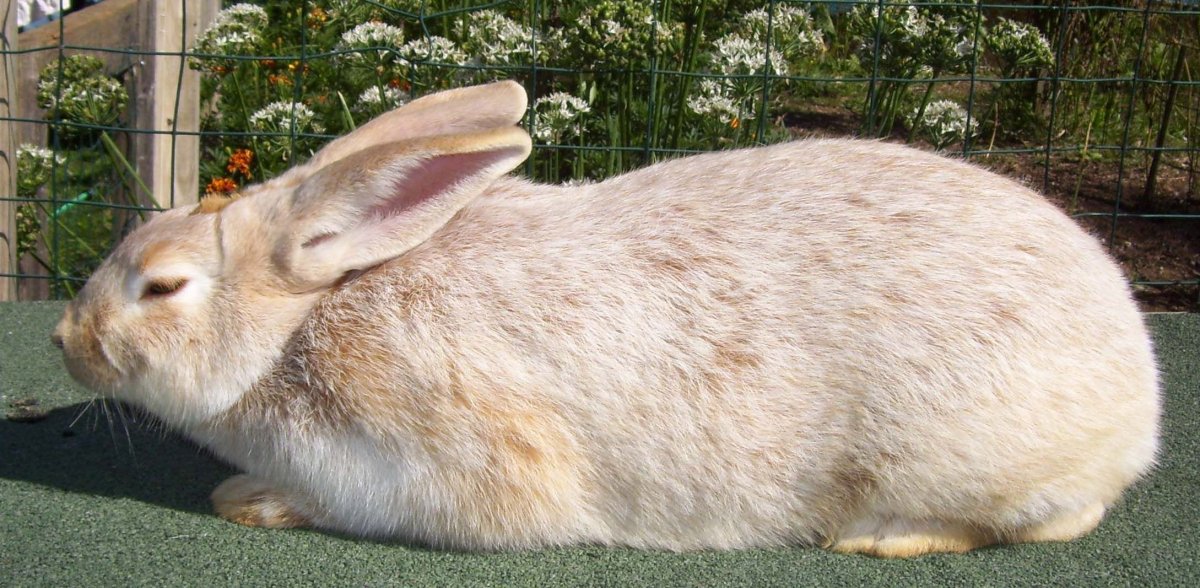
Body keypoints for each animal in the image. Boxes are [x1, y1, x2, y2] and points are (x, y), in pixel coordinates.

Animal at [52, 80, 1160, 557]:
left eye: (161, 287)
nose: (66, 341)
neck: (290, 334)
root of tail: (1141, 400)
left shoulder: (444, 464)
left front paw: (251, 500)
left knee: (1060, 518)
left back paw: (881, 541)